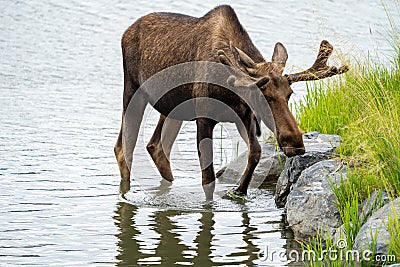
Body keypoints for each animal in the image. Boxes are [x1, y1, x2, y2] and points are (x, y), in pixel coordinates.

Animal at [114, 5, 348, 200]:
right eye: (262, 96)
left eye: (289, 93)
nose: (295, 143)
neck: (231, 89)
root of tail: (125, 32)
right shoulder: (204, 119)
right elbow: (208, 180)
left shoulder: (244, 115)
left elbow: (255, 152)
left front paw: (239, 190)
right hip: (133, 91)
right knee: (123, 149)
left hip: (173, 108)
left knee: (157, 147)